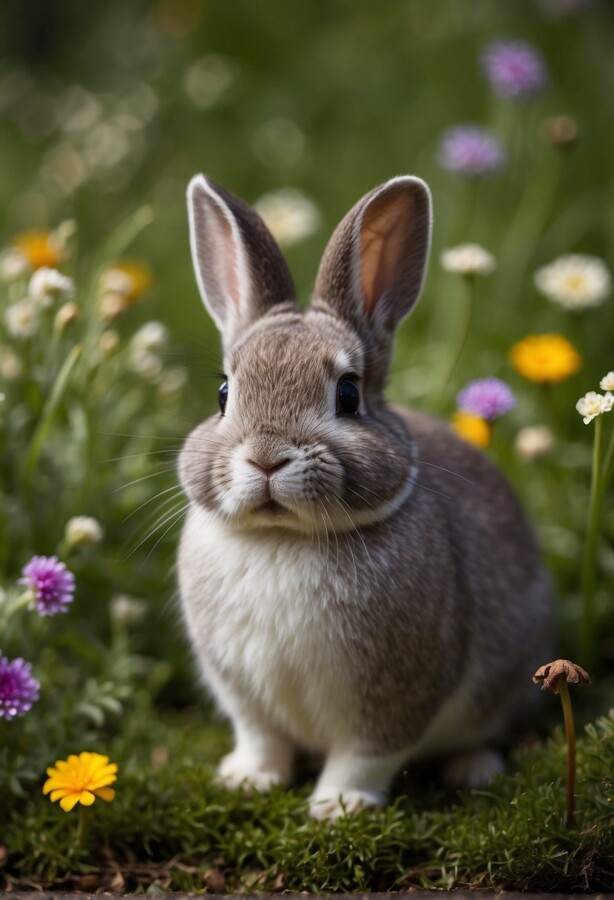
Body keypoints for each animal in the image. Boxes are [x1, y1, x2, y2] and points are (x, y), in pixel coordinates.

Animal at [178, 173, 553, 820]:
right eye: (224, 393)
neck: (283, 539)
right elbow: (261, 738)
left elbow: (367, 753)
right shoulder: (243, 694)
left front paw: (338, 807)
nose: (267, 457)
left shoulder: (397, 693)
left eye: (348, 395)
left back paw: (474, 770)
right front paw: (248, 781)